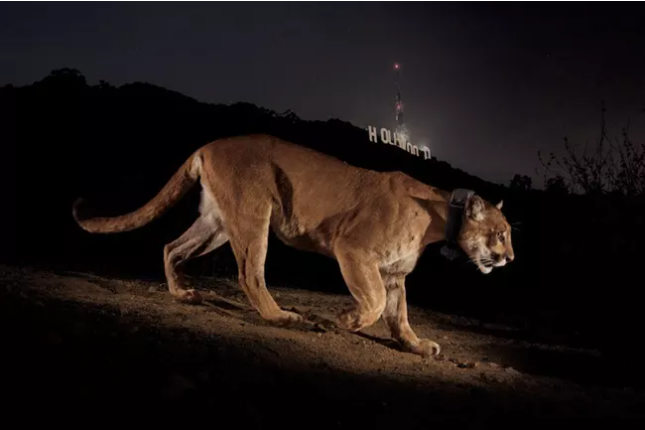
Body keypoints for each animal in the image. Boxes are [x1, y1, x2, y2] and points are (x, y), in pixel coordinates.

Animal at [73, 134, 514, 357]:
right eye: (502, 233)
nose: (510, 257)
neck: (439, 217)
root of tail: (209, 145)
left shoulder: (394, 274)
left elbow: (399, 315)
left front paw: (417, 345)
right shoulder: (354, 250)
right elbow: (372, 304)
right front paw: (343, 320)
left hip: (217, 222)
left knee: (171, 246)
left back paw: (183, 293)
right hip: (254, 214)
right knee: (250, 273)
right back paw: (285, 317)